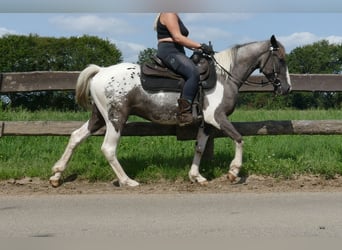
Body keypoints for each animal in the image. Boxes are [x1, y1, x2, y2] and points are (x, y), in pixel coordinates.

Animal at [48, 35, 292, 188]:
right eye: (280, 59)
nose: (287, 88)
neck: (225, 76)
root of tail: (100, 71)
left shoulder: (206, 123)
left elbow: (200, 148)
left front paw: (196, 176)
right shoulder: (217, 117)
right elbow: (239, 138)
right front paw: (233, 172)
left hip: (98, 117)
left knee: (76, 137)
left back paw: (57, 175)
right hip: (116, 117)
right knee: (108, 148)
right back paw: (128, 181)